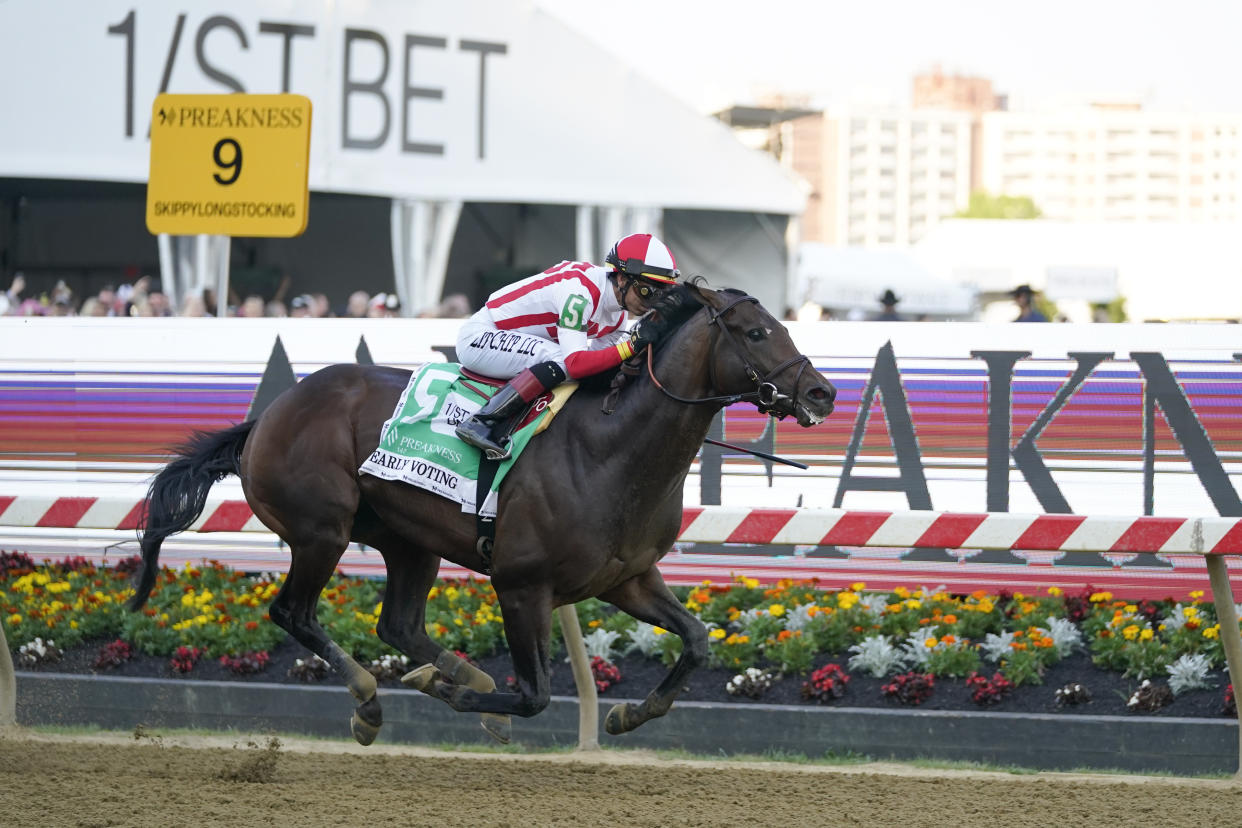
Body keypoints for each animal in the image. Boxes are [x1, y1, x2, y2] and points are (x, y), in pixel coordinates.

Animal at [128, 283, 834, 744]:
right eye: (756, 332)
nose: (820, 391)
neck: (611, 449)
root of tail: (267, 416)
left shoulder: (627, 578)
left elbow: (695, 640)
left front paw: (624, 714)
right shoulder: (521, 585)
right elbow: (536, 693)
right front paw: (465, 695)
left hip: (409, 541)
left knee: (398, 626)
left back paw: (450, 677)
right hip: (320, 530)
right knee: (293, 613)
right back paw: (371, 701)